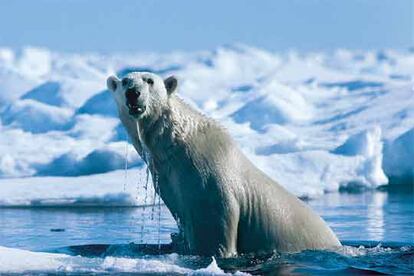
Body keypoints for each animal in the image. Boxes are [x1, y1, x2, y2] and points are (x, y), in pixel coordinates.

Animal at [107, 71, 342, 256]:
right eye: (125, 81)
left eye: (149, 81)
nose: (133, 93)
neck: (179, 144)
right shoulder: (170, 184)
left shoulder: (208, 179)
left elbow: (215, 231)